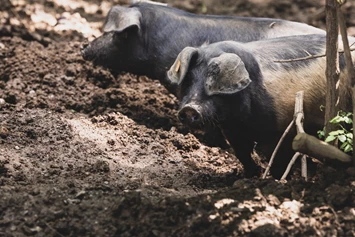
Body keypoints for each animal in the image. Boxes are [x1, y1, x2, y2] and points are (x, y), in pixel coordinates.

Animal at [169, 33, 355, 178]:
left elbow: (279, 155)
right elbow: (242, 153)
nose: (189, 108)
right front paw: (251, 175)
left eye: (215, 84)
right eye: (189, 81)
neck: (244, 121)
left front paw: (275, 179)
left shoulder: (283, 127)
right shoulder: (233, 130)